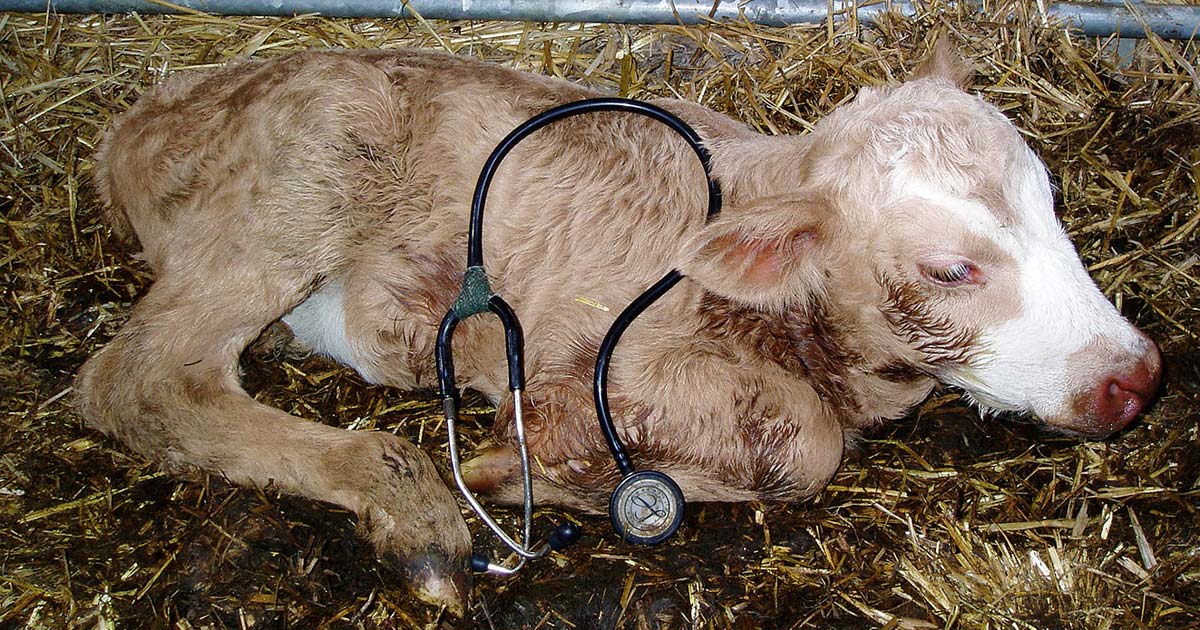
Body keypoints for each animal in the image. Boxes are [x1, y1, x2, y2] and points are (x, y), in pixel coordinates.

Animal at [77, 43, 1161, 613]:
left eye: (1053, 202)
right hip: (297, 195)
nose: (1136, 378)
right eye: (949, 268)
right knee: (143, 378)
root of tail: (145, 117)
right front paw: (509, 471)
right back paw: (414, 510)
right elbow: (801, 443)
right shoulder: (589, 364)